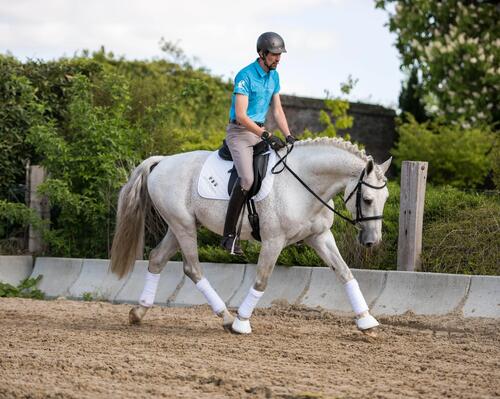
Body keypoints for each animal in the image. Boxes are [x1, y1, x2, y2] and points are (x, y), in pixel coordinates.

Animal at [109, 138, 390, 334]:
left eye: (385, 198)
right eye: (367, 199)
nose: (372, 241)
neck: (303, 185)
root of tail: (163, 161)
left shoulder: (320, 237)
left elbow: (344, 272)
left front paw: (367, 321)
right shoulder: (273, 241)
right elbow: (262, 281)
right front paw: (242, 323)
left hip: (179, 227)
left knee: (158, 258)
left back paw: (139, 312)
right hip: (183, 226)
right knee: (193, 268)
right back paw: (227, 318)